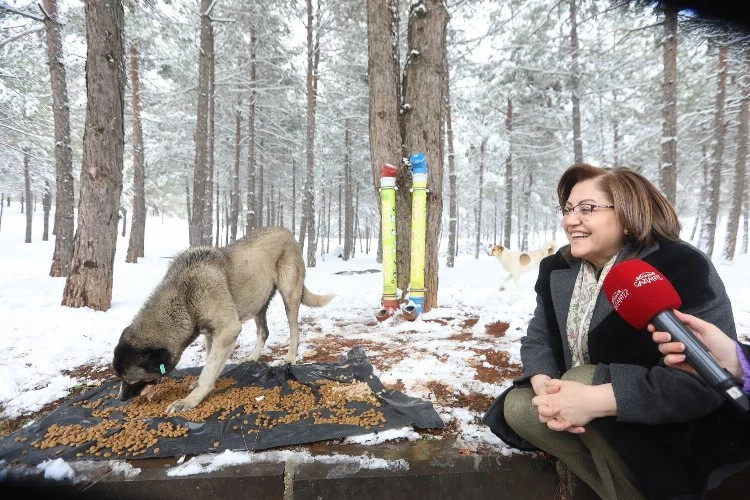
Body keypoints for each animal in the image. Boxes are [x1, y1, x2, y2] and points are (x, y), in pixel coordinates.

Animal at [113, 226, 334, 414]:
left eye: (128, 379)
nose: (121, 398)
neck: (183, 298)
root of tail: (287, 231)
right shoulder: (211, 334)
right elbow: (209, 362)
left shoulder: (228, 330)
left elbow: (208, 371)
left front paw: (189, 400)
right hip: (257, 301)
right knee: (264, 331)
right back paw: (253, 358)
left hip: (289, 295)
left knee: (294, 328)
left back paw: (290, 358)